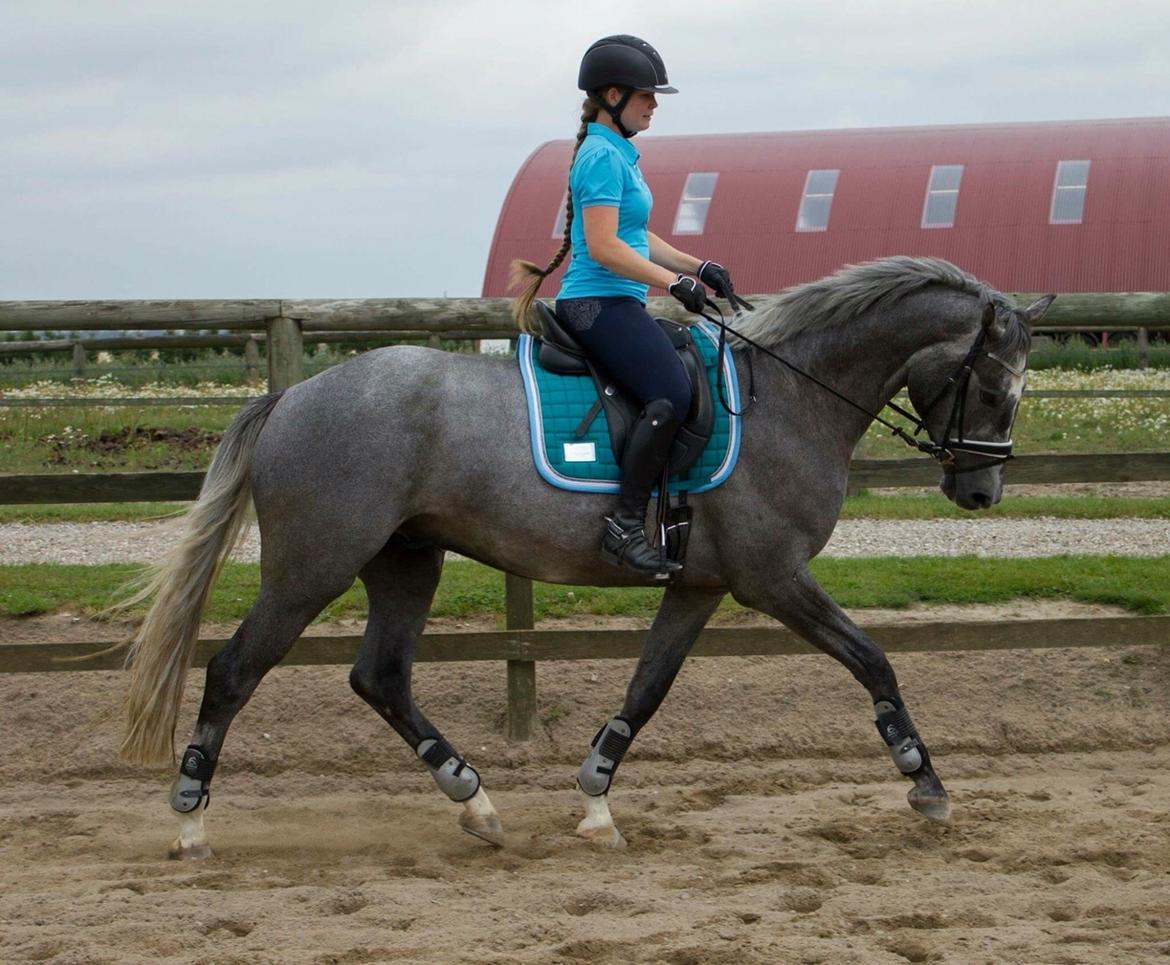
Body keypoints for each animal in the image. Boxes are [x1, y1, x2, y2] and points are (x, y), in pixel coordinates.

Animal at [116, 252, 1053, 856]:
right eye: (995, 388)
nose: (981, 493)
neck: (788, 397)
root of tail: (293, 396)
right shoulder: (774, 579)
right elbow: (872, 659)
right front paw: (924, 781)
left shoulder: (700, 586)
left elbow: (647, 688)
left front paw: (598, 797)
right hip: (312, 566)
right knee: (233, 670)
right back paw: (191, 817)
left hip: (406, 559)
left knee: (379, 676)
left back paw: (474, 798)